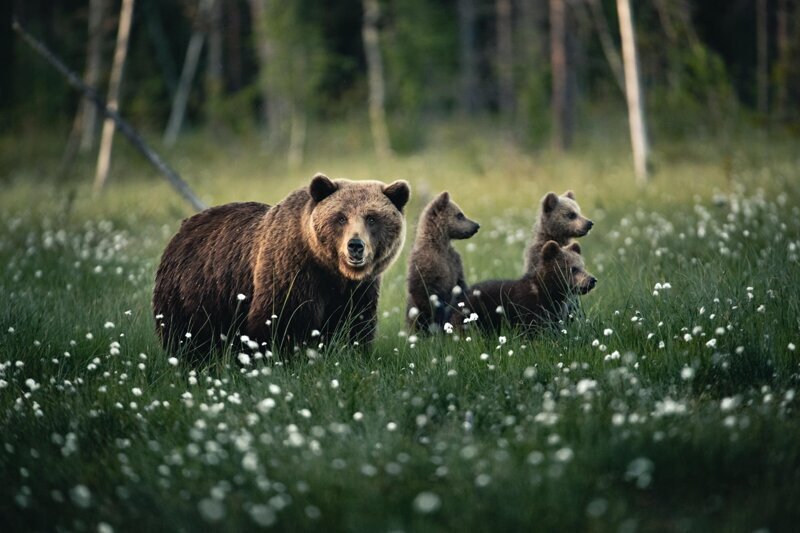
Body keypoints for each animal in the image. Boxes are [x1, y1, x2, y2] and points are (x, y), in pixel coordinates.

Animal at [153, 172, 410, 360]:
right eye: (341, 218)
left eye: (372, 218)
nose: (355, 245)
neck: (330, 271)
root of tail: (183, 228)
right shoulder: (293, 272)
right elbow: (281, 321)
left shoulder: (358, 290)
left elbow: (354, 325)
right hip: (194, 294)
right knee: (187, 339)